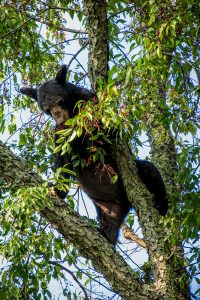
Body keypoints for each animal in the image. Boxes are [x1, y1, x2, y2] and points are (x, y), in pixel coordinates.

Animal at [20, 65, 167, 244]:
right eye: (47, 110)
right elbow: (62, 157)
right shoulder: (60, 133)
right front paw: (57, 188)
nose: (60, 118)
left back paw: (162, 205)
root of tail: (125, 202)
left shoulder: (90, 102)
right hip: (108, 206)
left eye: (60, 101)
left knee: (149, 170)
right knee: (111, 222)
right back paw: (105, 233)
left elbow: (102, 130)